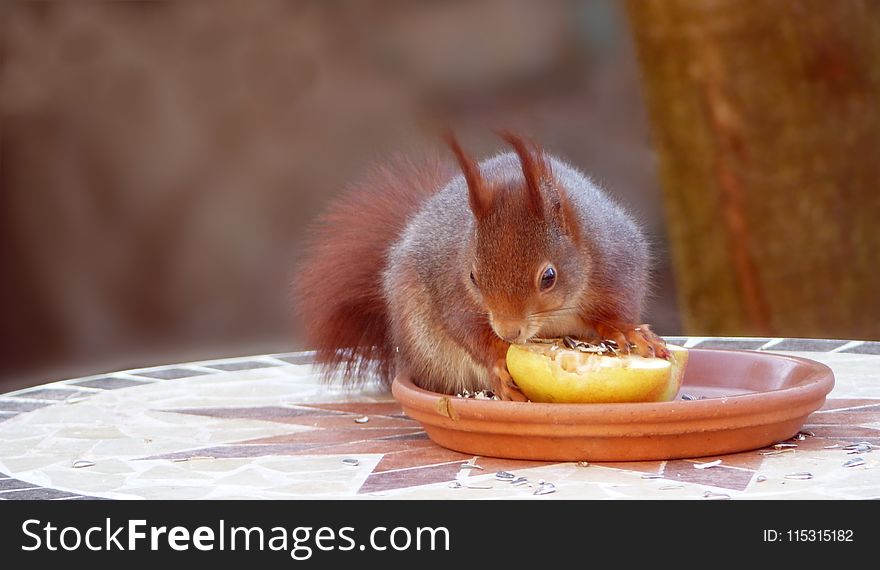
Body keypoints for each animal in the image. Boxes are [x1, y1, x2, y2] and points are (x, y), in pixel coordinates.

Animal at [292, 132, 664, 400]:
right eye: (473, 276)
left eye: (549, 277)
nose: (509, 332)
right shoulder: (451, 289)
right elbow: (466, 329)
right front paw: (499, 362)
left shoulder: (615, 263)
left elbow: (616, 310)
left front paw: (628, 332)